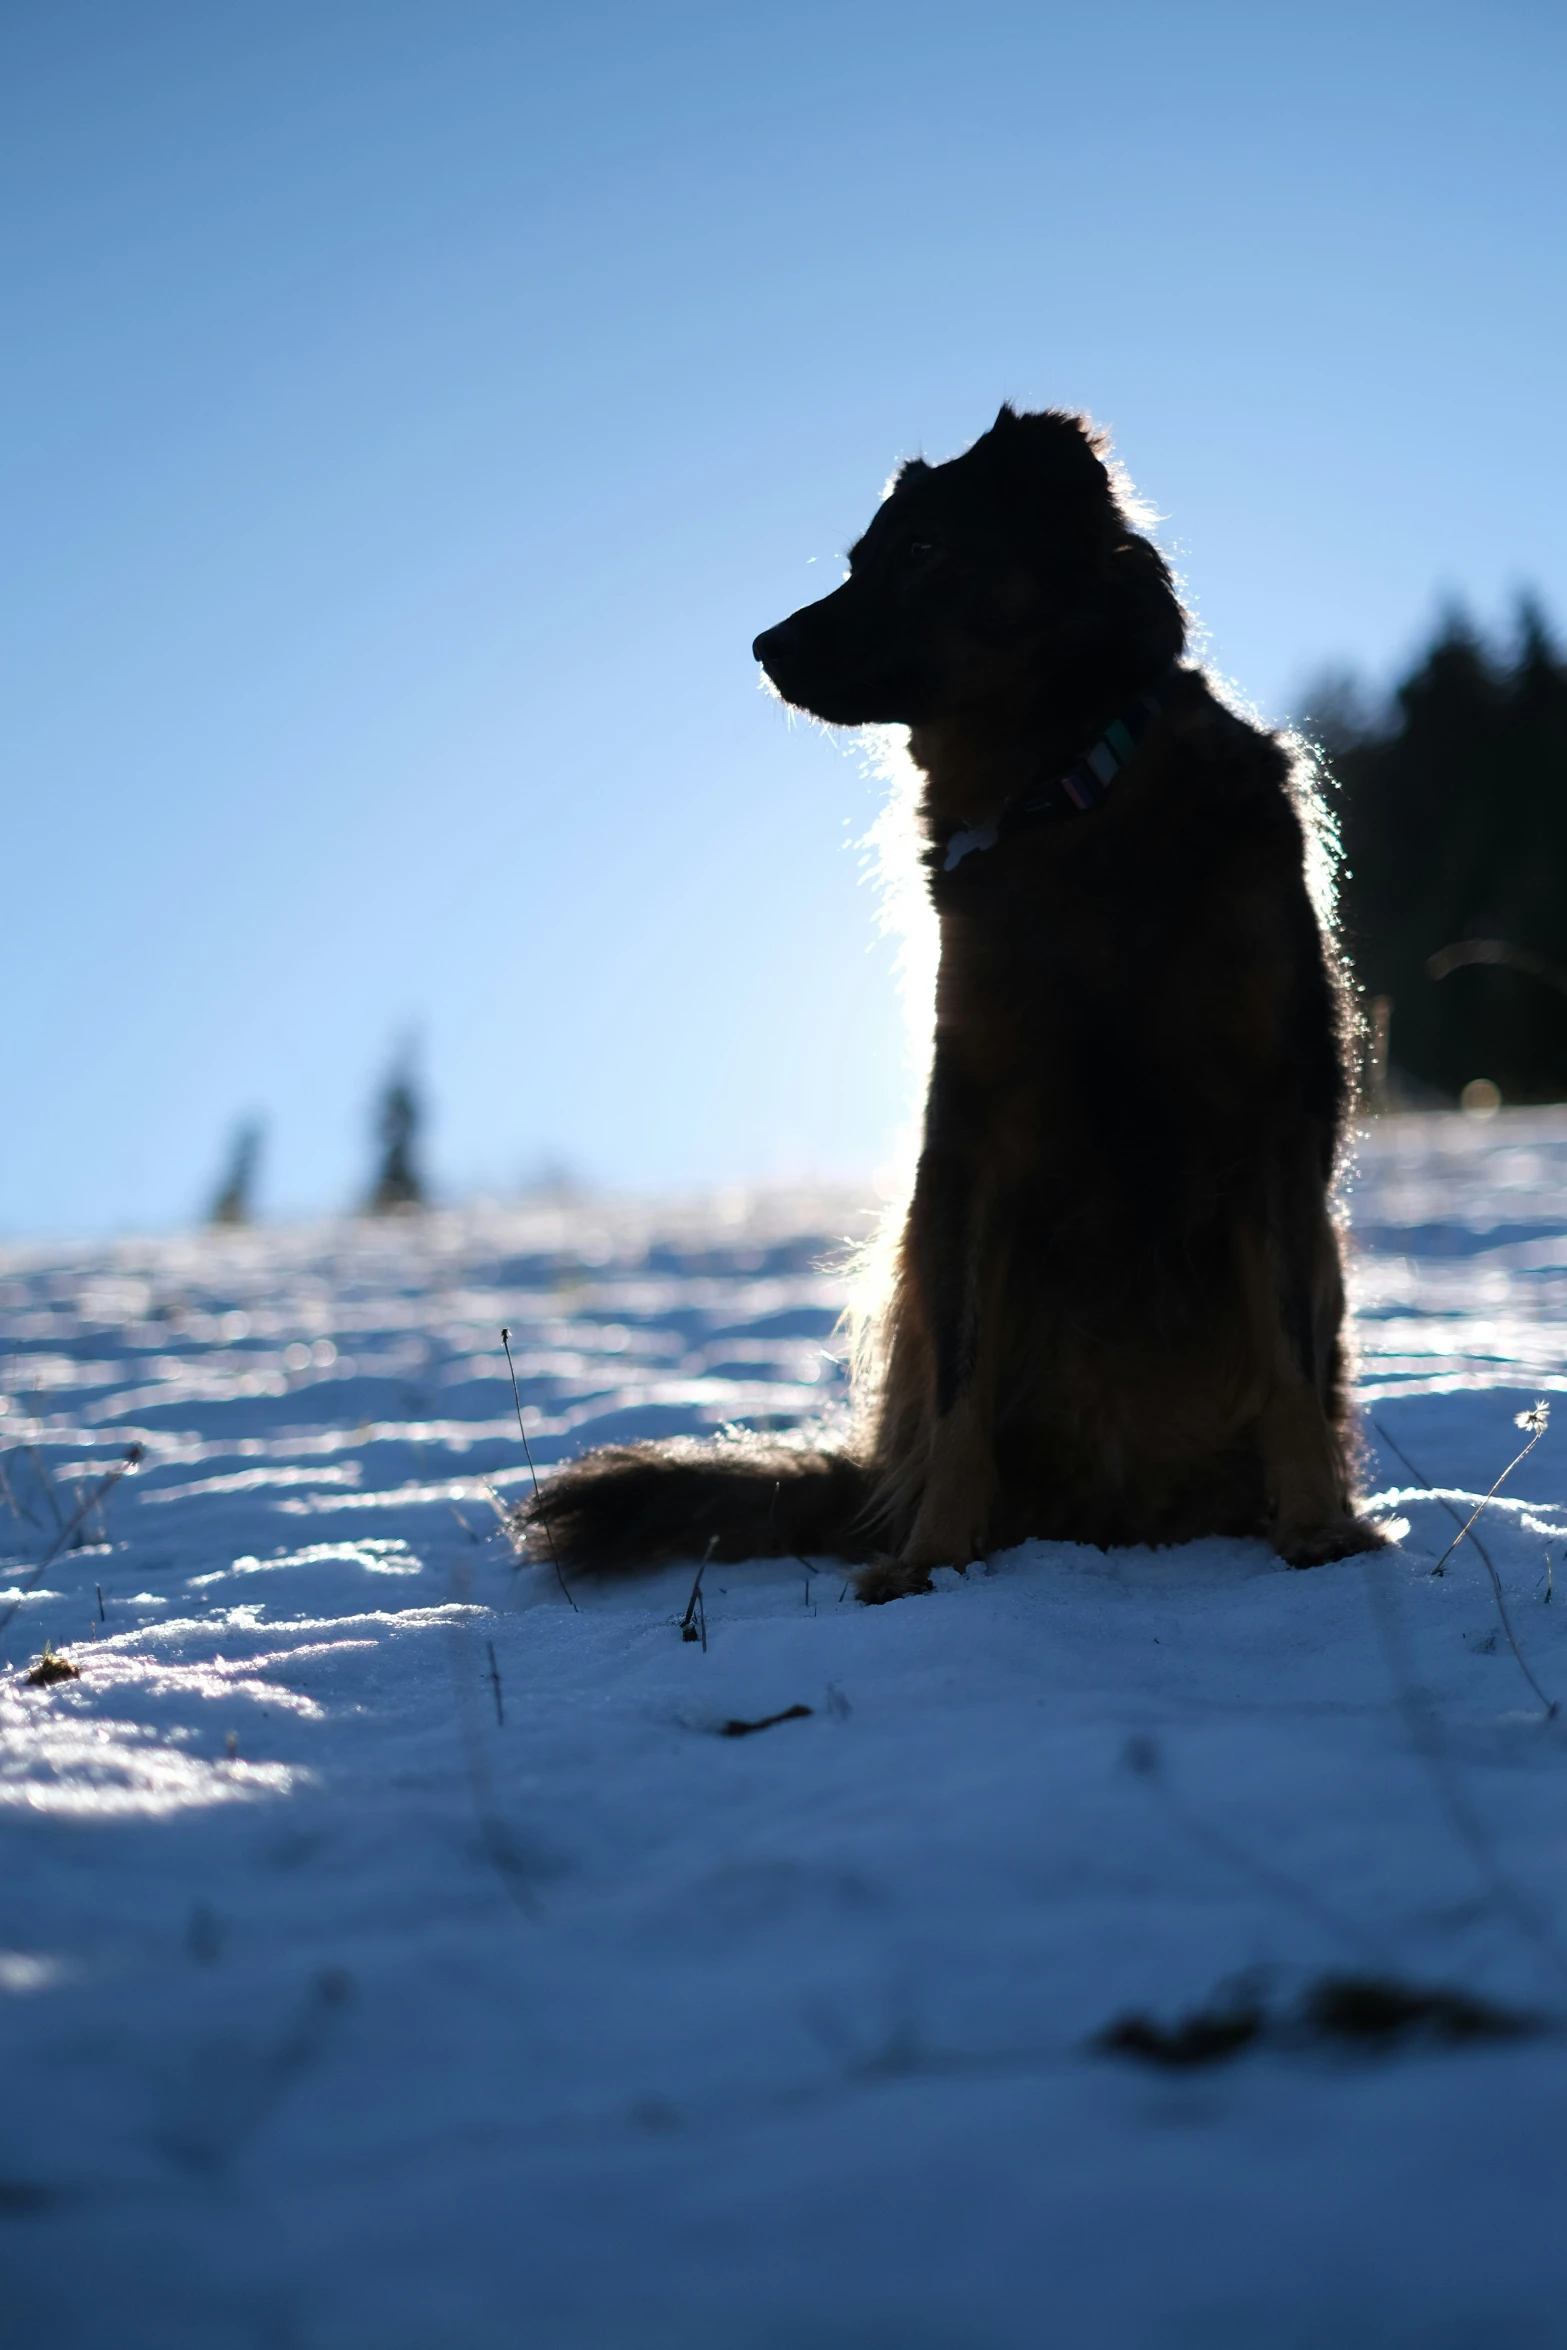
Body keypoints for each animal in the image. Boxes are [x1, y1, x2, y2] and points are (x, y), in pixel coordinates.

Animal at [530, 413, 1381, 1607]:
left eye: (923, 551)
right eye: (857, 559)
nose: (764, 646)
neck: (1066, 800)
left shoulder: (1270, 1118)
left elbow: (1288, 1364)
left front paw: (1314, 1528)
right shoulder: (971, 1132)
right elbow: (959, 1390)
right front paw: (932, 1556)